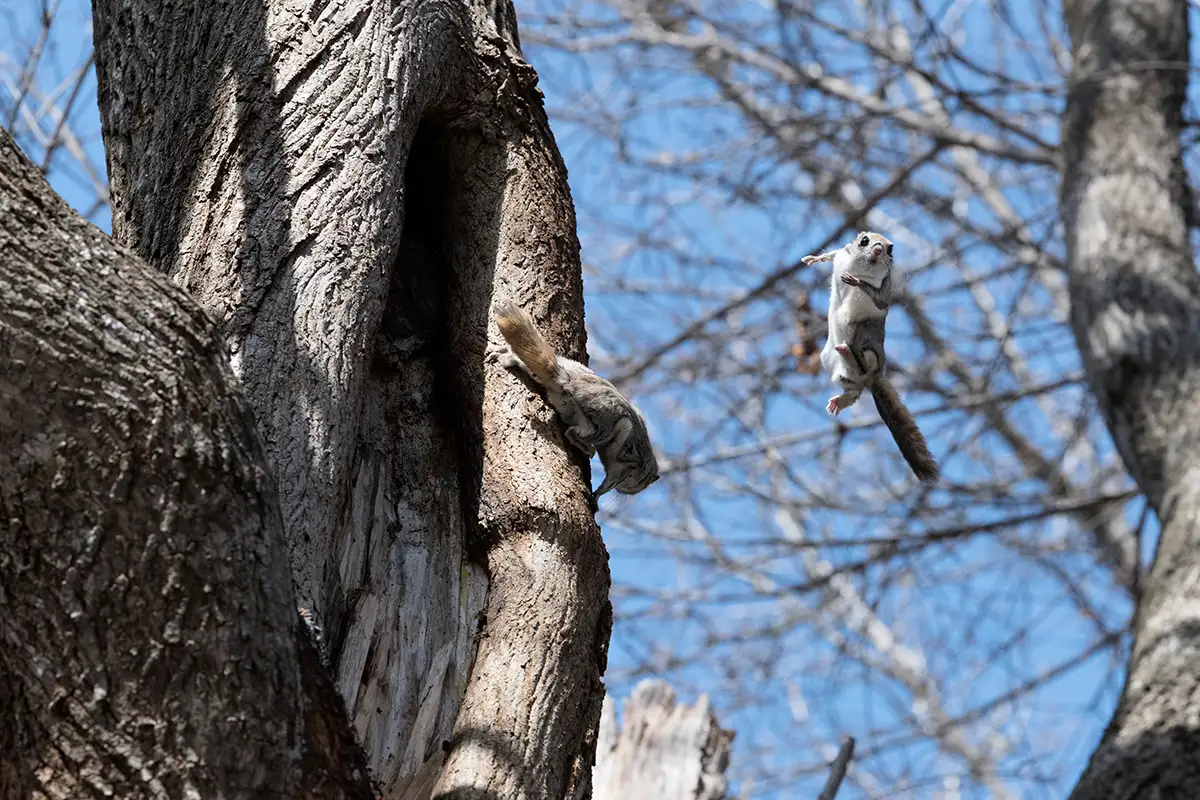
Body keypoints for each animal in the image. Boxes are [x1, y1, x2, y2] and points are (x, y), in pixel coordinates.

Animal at [489, 300, 660, 500]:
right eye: (638, 483)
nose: (625, 492)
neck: (643, 462)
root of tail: (567, 379)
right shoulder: (622, 466)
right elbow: (608, 481)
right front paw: (597, 495)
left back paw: (505, 356)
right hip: (599, 426)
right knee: (573, 433)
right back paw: (587, 448)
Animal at [802, 232, 940, 485]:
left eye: (890, 249)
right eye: (864, 240)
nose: (877, 250)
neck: (859, 267)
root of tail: (875, 376)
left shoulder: (884, 288)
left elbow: (880, 301)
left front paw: (855, 282)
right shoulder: (842, 254)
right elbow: (833, 253)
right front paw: (812, 259)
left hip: (868, 352)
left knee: (860, 375)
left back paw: (848, 354)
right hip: (832, 363)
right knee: (853, 389)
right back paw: (841, 396)